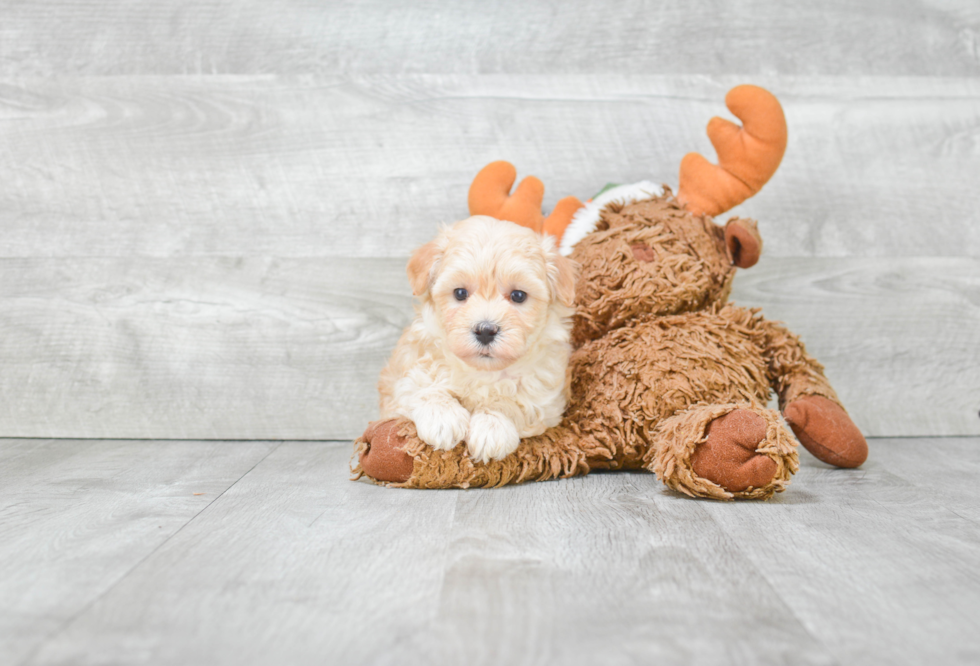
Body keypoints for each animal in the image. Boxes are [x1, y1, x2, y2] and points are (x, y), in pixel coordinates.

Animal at [378, 215, 580, 460]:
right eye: (460, 293)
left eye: (518, 295)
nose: (485, 330)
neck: (483, 372)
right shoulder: (402, 382)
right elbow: (422, 388)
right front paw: (442, 417)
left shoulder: (545, 402)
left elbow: (512, 403)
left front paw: (492, 426)